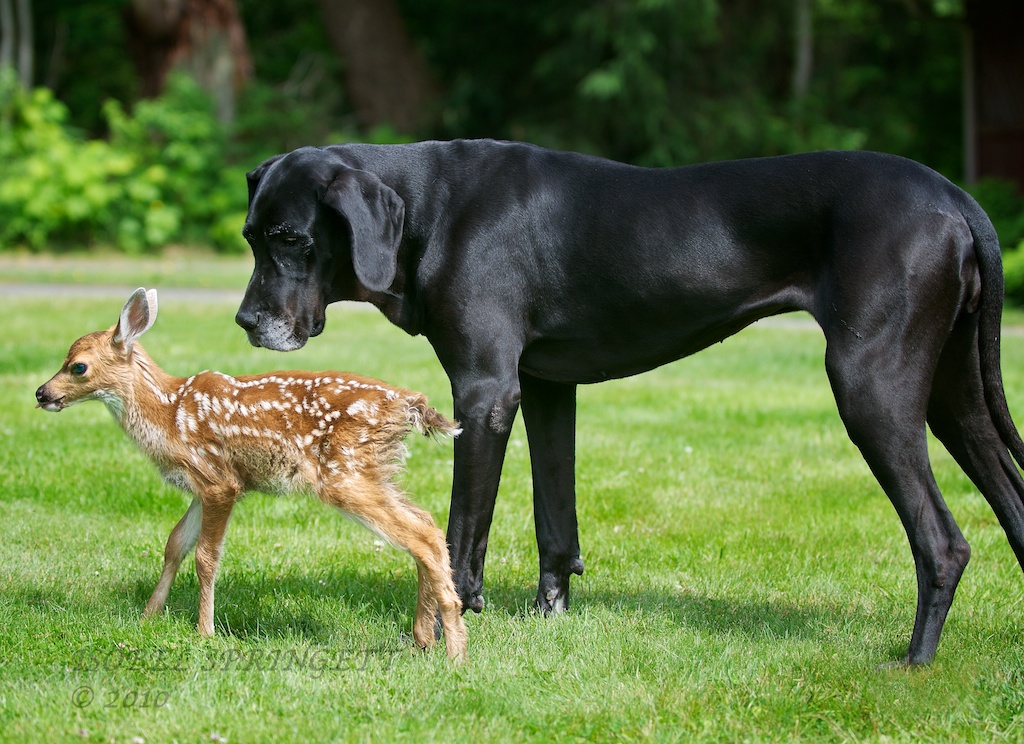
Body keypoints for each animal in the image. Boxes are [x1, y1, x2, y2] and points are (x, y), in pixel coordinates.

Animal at [235, 142, 1024, 667]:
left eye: (292, 239)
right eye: (250, 236)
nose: (246, 322)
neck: (429, 205)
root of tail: (955, 196)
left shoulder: (485, 390)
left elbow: (460, 535)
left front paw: (443, 631)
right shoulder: (546, 387)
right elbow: (555, 520)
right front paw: (549, 616)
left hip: (871, 387)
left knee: (943, 542)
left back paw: (914, 662)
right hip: (955, 397)